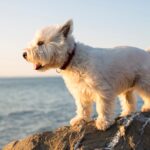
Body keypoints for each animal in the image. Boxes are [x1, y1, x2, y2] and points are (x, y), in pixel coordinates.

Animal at [22, 19, 150, 130]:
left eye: (40, 43)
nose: (24, 54)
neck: (72, 57)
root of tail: (146, 53)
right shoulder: (80, 92)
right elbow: (82, 107)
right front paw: (80, 120)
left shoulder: (103, 90)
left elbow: (102, 107)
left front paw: (103, 122)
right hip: (127, 87)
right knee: (129, 101)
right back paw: (126, 113)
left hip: (144, 83)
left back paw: (146, 107)